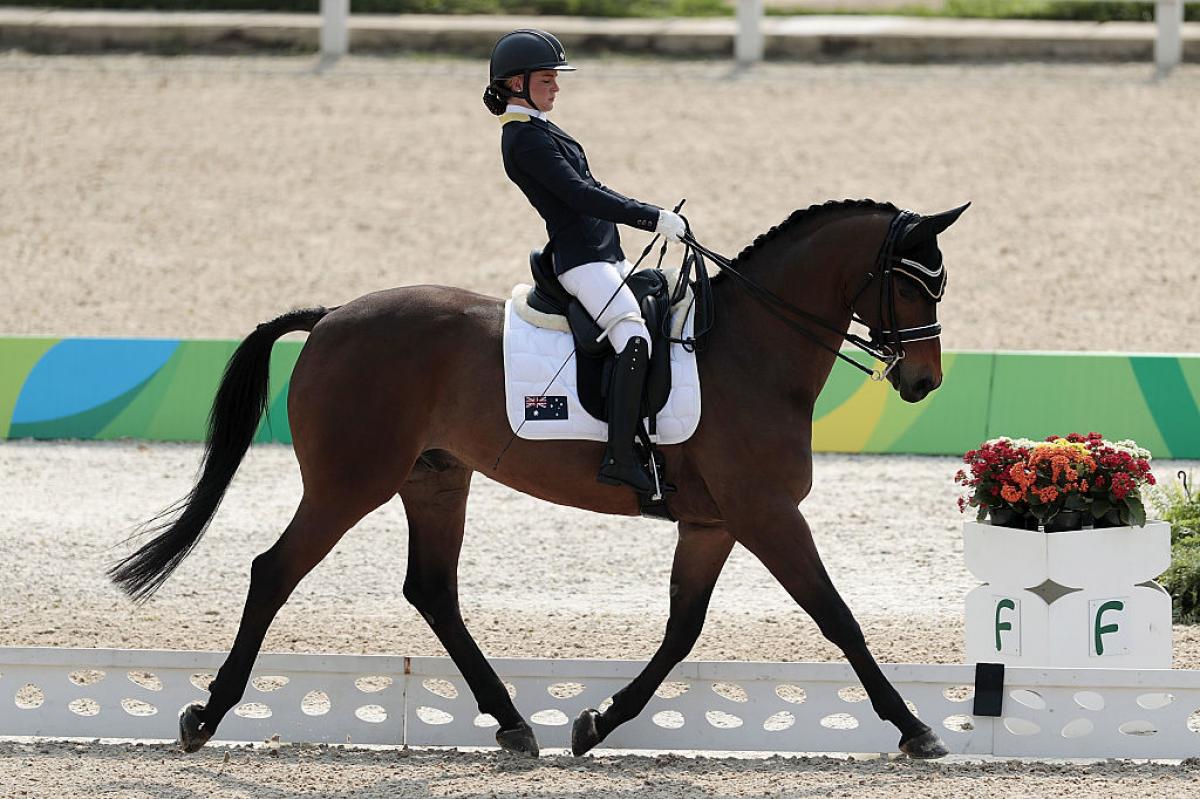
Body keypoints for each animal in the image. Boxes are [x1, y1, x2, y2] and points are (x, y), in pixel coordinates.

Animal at [112, 195, 969, 758]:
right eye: (913, 282)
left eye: (939, 282)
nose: (925, 381)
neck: (750, 350)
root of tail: (329, 317)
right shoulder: (767, 514)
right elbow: (839, 617)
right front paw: (915, 728)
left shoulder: (714, 522)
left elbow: (681, 630)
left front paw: (594, 723)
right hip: (348, 483)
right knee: (274, 571)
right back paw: (205, 716)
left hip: (434, 478)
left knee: (432, 589)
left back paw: (514, 722)